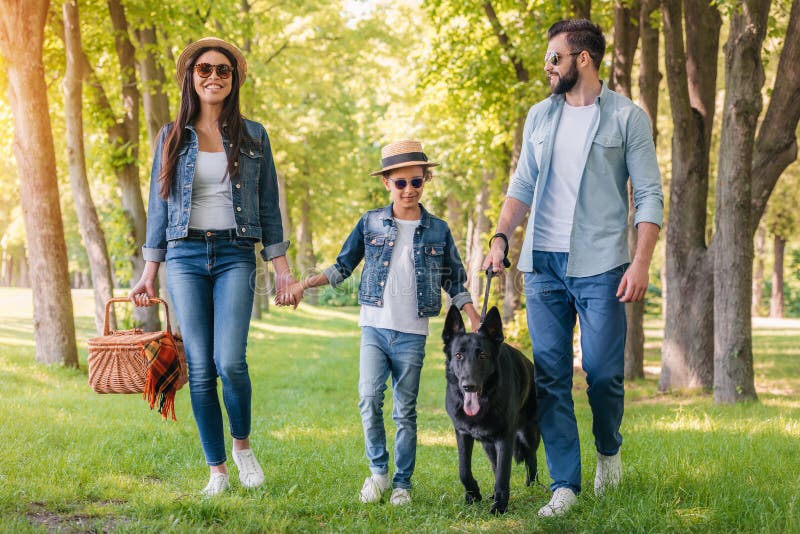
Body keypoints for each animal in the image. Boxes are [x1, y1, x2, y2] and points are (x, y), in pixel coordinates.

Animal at [440, 306, 540, 516]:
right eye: (458, 355)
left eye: (483, 356)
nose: (469, 386)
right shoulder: (462, 434)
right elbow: (464, 470)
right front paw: (473, 495)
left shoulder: (505, 438)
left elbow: (503, 474)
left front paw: (500, 507)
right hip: (488, 444)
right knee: (495, 464)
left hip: (528, 433)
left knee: (531, 456)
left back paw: (533, 486)